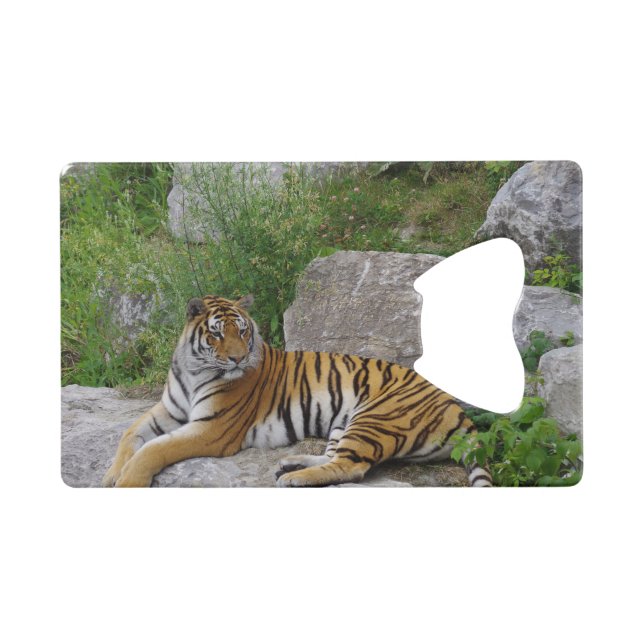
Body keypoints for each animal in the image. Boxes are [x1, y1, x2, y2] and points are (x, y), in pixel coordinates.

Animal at [102, 295, 493, 488]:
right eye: (217, 333)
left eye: (243, 331)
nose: (238, 358)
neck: (194, 369)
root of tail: (458, 409)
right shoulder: (168, 409)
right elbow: (130, 434)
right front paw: (111, 474)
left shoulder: (211, 429)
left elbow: (155, 450)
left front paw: (127, 482)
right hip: (344, 422)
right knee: (336, 458)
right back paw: (291, 464)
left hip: (375, 417)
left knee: (352, 468)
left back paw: (293, 479)